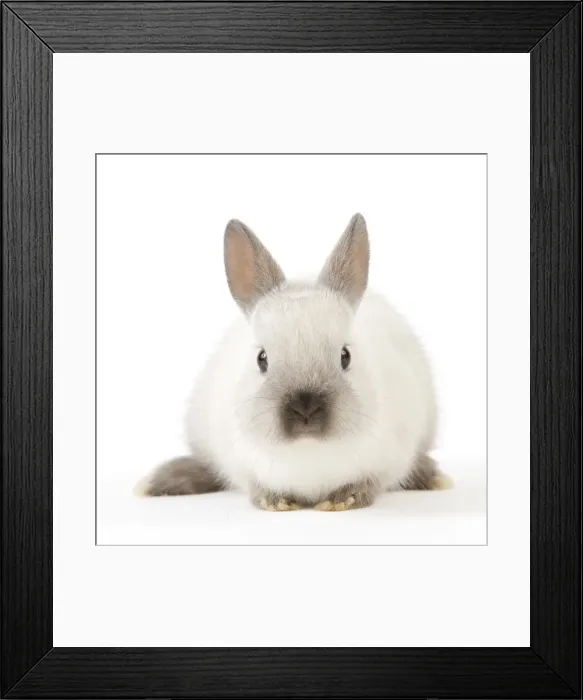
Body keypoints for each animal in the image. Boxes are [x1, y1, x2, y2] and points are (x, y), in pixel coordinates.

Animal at [135, 213, 452, 511]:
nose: (305, 409)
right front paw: (275, 502)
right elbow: (254, 485)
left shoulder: (393, 458)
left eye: (345, 356)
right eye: (261, 359)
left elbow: (370, 483)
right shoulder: (239, 464)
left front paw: (342, 500)